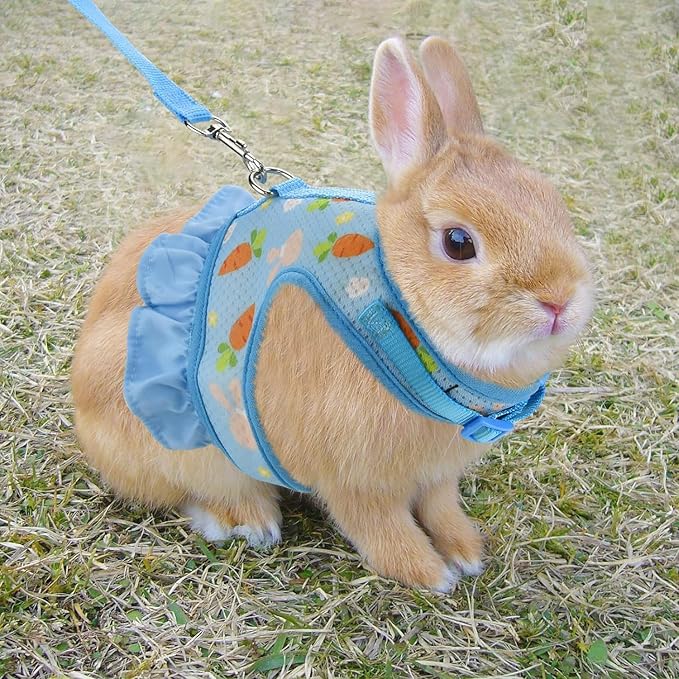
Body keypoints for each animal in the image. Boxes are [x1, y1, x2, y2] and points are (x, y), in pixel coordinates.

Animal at [71, 36, 593, 590]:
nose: (560, 300)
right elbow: (379, 526)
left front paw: (464, 552)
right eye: (458, 242)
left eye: (554, 202)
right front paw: (429, 574)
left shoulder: (435, 476)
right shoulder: (354, 478)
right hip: (184, 443)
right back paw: (250, 522)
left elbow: (440, 507)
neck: (396, 314)